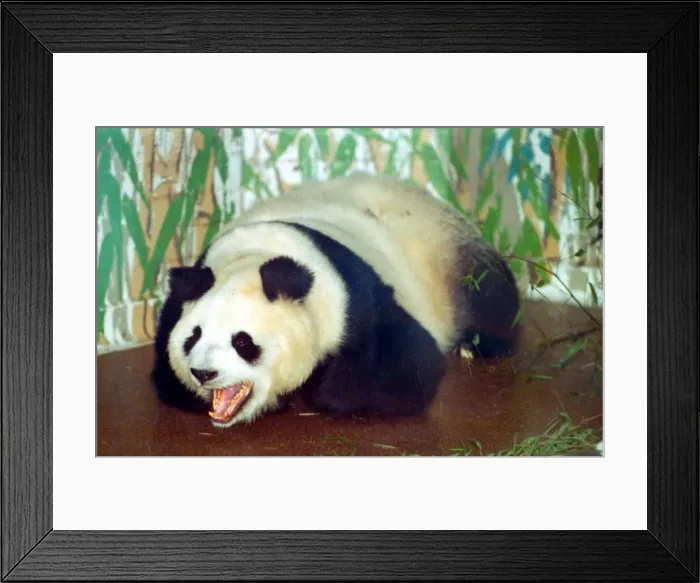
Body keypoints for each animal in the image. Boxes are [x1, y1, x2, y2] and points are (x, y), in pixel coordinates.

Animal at [151, 173, 521, 429]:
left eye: (242, 341)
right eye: (193, 337)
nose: (204, 373)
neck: (258, 256)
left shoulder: (355, 297)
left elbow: (405, 372)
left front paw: (315, 389)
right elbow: (169, 381)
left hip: (445, 256)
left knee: (492, 298)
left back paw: (475, 344)